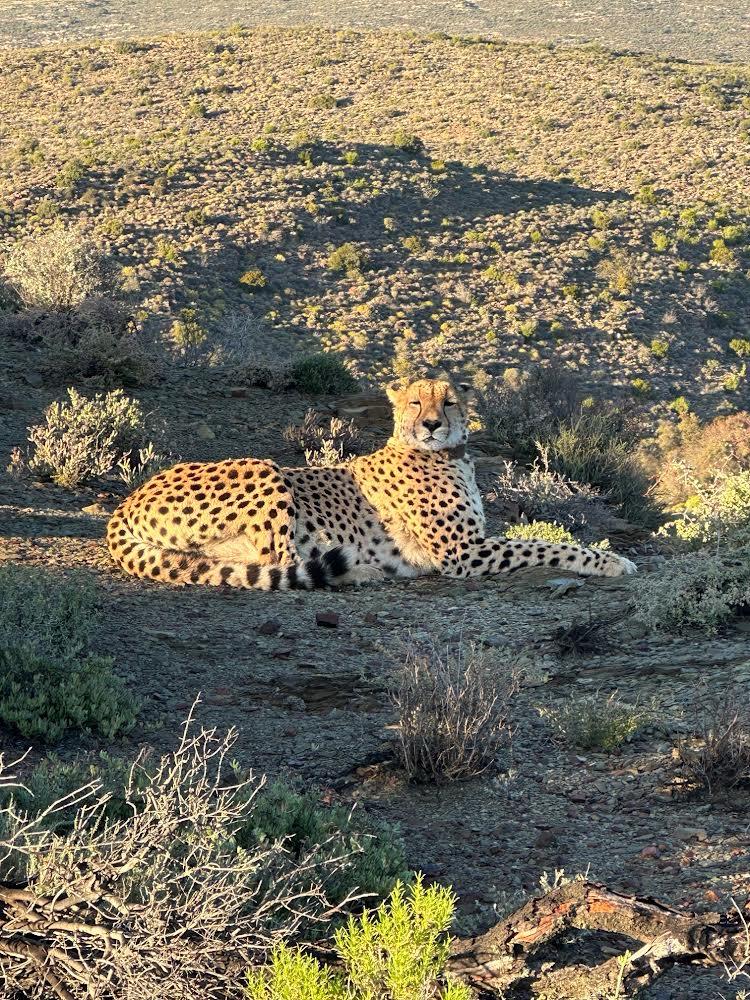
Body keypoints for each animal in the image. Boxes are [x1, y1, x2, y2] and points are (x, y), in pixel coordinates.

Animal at [107, 378, 640, 588]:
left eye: (448, 401)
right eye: (415, 402)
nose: (431, 424)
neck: (446, 454)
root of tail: (126, 501)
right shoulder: (463, 553)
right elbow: (549, 545)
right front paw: (612, 561)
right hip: (265, 468)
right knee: (280, 564)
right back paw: (357, 571)